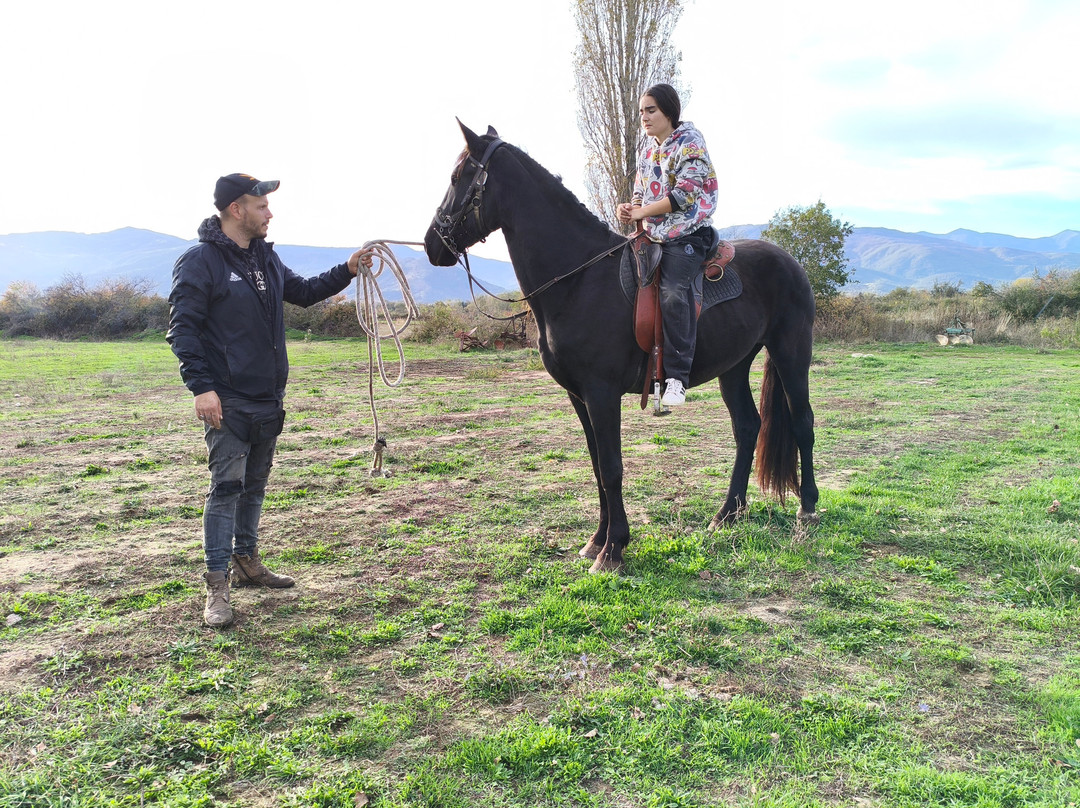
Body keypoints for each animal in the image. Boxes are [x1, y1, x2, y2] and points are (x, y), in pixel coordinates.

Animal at [424, 122, 819, 574]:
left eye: (457, 177)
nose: (431, 243)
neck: (577, 280)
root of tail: (790, 262)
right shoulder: (579, 396)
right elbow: (597, 466)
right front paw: (597, 540)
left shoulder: (601, 393)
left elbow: (612, 468)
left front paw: (613, 550)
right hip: (734, 366)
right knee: (748, 427)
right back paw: (727, 514)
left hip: (791, 353)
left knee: (803, 423)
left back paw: (807, 510)